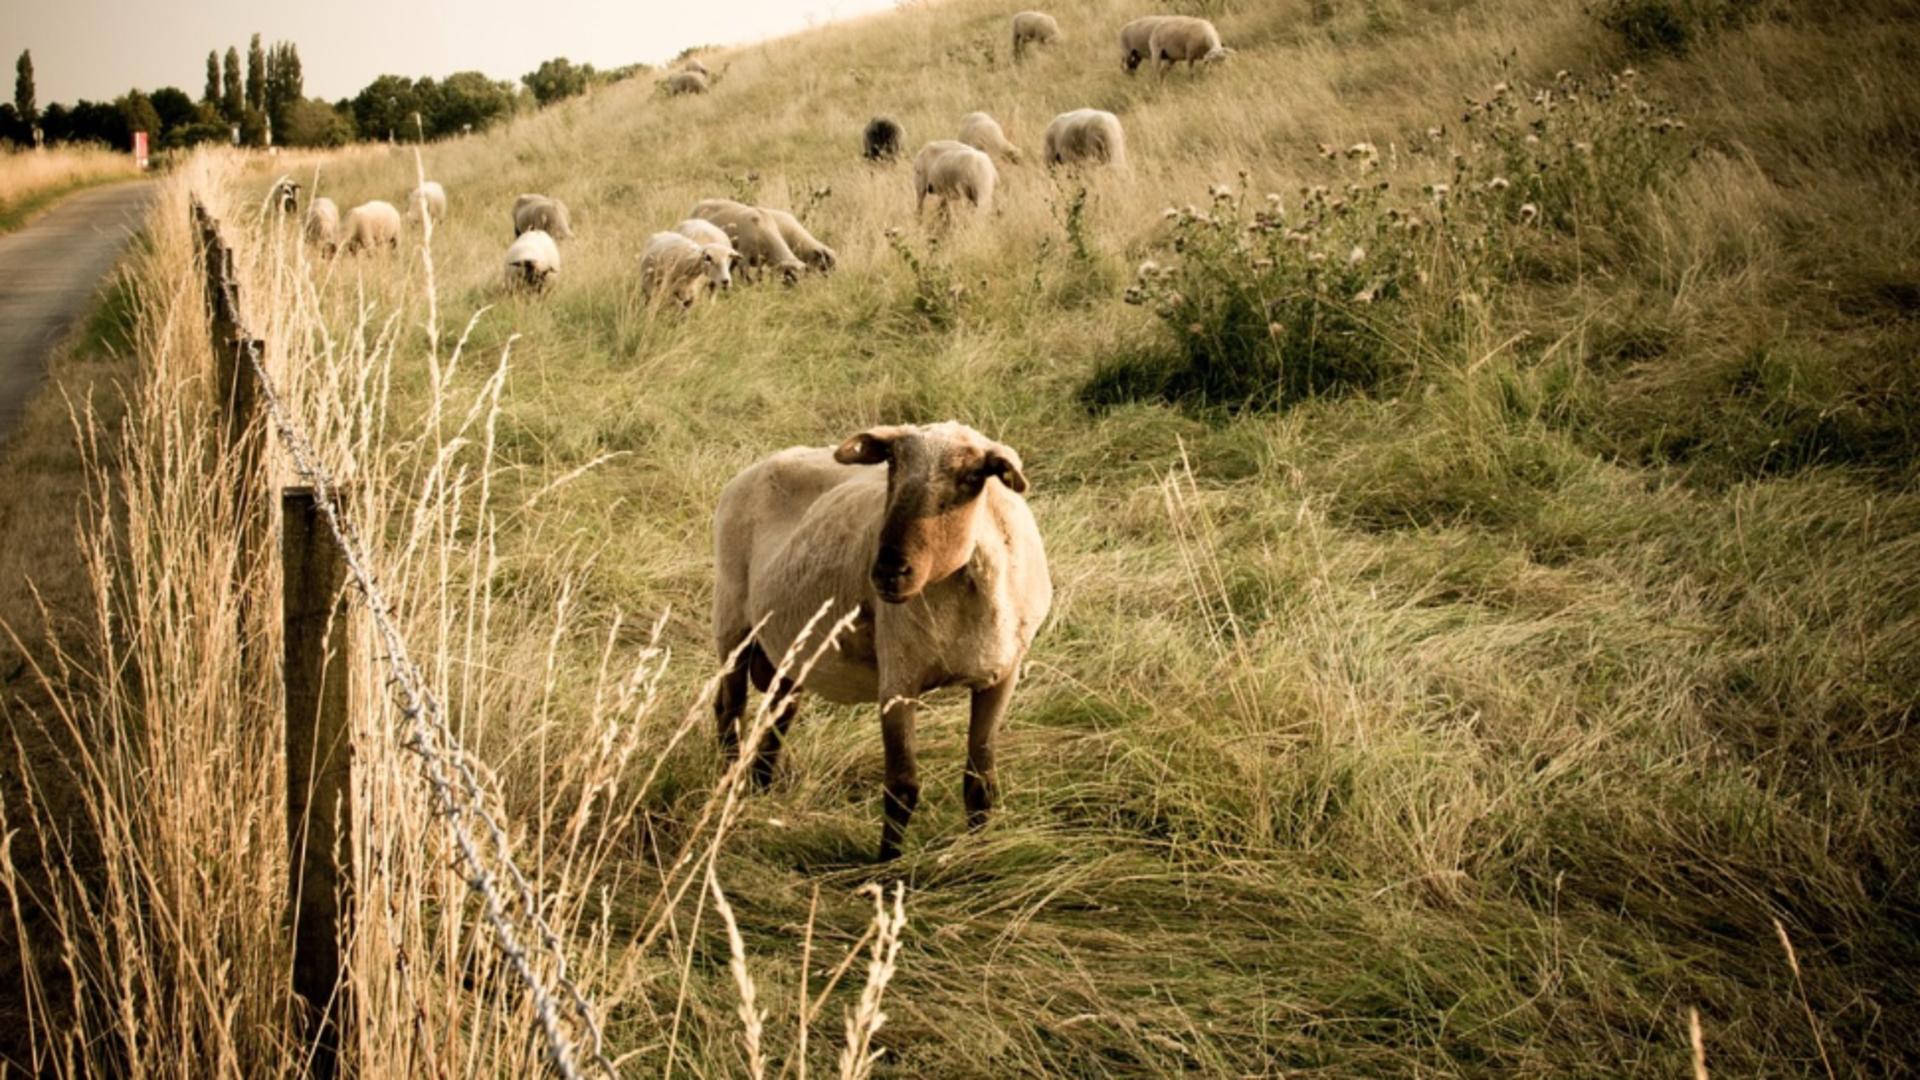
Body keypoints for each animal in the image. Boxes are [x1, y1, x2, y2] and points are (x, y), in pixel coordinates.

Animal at [718, 420, 1059, 857]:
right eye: (892, 463)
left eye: (972, 476)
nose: (888, 571)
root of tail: (759, 465)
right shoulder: (899, 679)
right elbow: (902, 786)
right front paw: (886, 864)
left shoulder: (1001, 676)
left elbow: (980, 781)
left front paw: (978, 850)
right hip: (732, 622)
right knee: (730, 712)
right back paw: (729, 788)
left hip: (791, 649)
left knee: (779, 716)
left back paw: (762, 788)